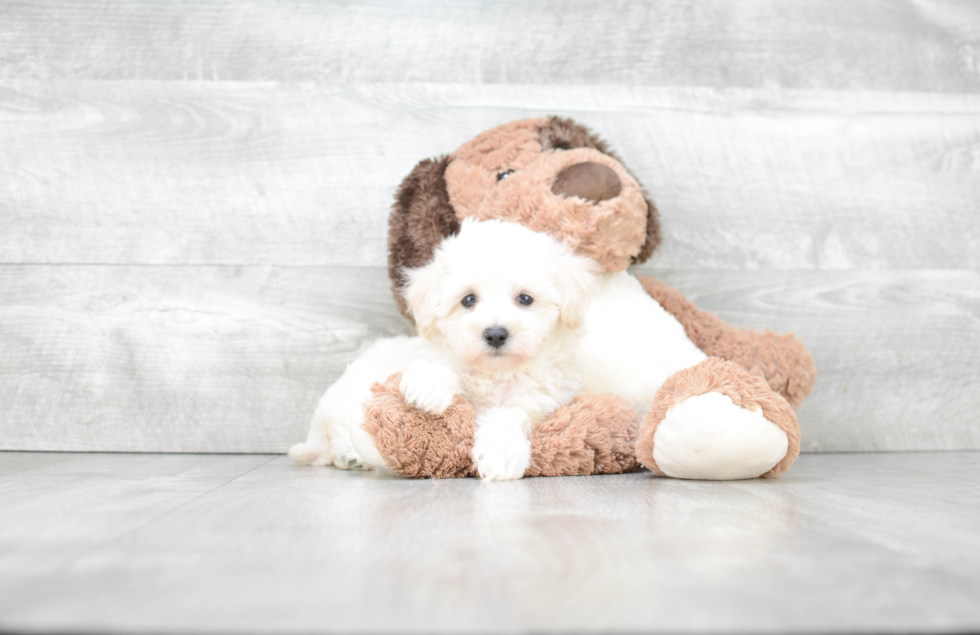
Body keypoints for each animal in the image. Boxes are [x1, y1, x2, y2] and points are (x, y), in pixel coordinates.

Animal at [290, 220, 596, 482]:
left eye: (525, 299)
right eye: (468, 300)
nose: (496, 334)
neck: (493, 372)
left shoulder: (542, 397)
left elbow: (510, 413)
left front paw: (501, 454)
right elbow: (440, 366)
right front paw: (428, 388)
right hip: (352, 392)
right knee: (340, 430)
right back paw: (351, 455)